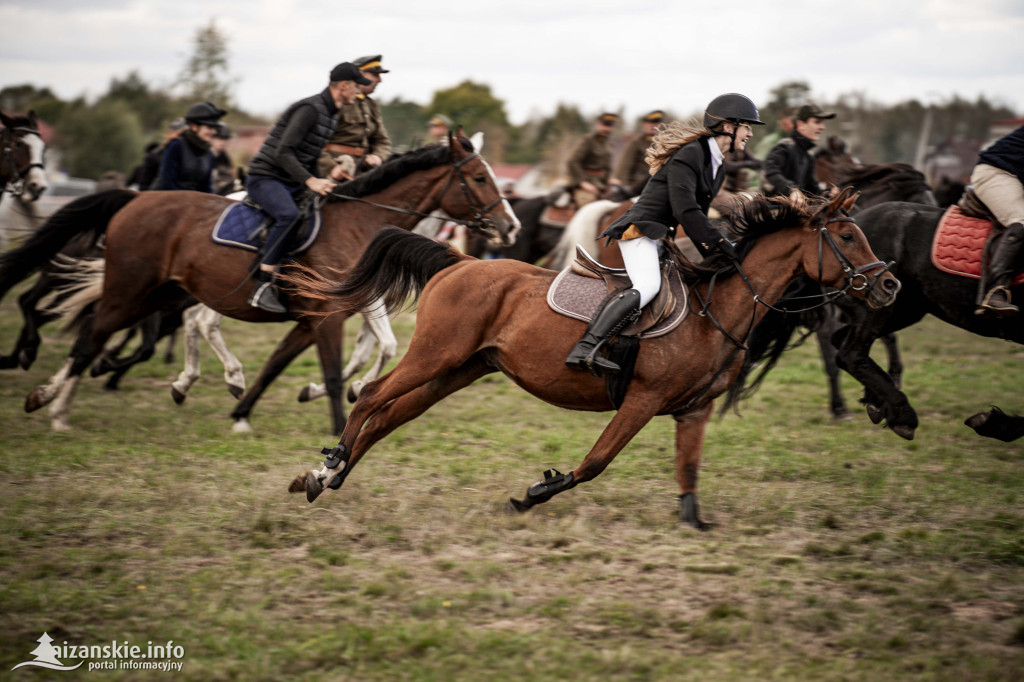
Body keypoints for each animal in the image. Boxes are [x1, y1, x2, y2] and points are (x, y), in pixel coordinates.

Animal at [24, 133, 520, 430]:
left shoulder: (314, 319)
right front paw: (339, 422)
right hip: (133, 290)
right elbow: (343, 369)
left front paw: (243, 412)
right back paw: (56, 403)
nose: (510, 226)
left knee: (118, 332)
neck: (360, 223)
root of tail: (134, 199)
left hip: (160, 292)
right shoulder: (330, 319)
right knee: (97, 336)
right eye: (479, 177)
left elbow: (282, 363)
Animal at [286, 188, 897, 528]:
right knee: (370, 396)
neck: (715, 310)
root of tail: (461, 261)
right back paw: (330, 463)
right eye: (847, 235)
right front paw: (534, 494)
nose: (889, 285)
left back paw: (324, 476)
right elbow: (597, 461)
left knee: (388, 415)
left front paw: (695, 523)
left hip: (459, 370)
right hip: (436, 356)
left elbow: (689, 470)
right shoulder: (643, 399)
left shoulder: (693, 410)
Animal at [749, 199, 1019, 440]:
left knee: (844, 343)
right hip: (879, 311)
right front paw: (996, 424)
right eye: (847, 237)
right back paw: (898, 412)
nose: (890, 284)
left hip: (901, 309)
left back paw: (879, 401)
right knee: (849, 353)